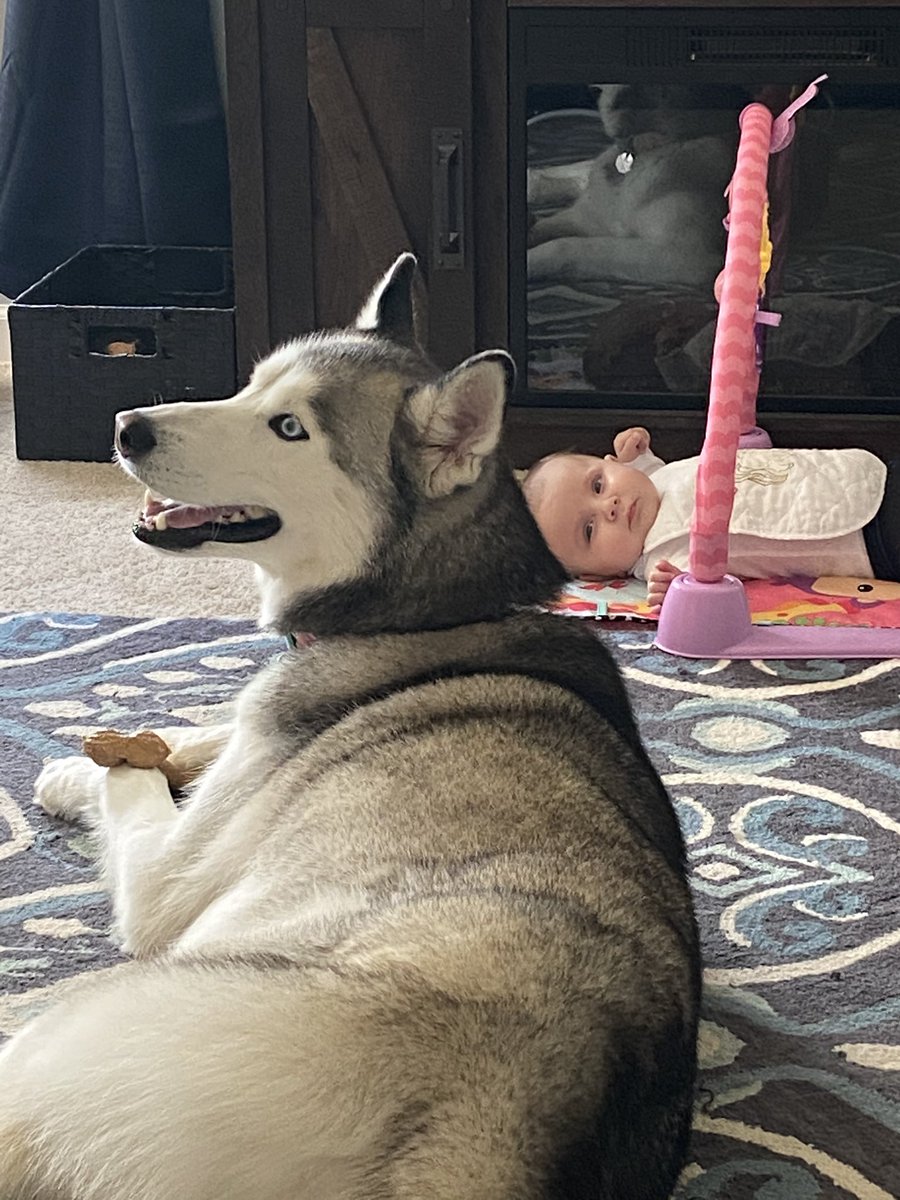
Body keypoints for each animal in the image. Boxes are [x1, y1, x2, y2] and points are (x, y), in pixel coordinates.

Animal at [0, 255, 700, 1200]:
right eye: (251, 383)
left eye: (289, 427)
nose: (126, 427)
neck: (429, 611)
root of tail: (493, 1141)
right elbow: (201, 728)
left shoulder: (165, 883)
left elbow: (134, 785)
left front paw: (80, 768)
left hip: (73, 1029)